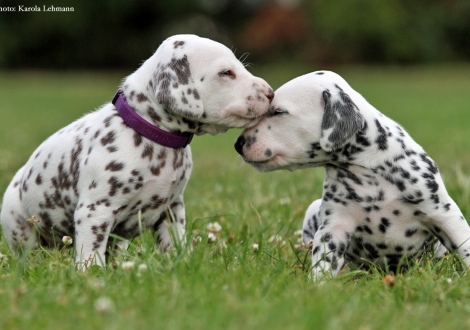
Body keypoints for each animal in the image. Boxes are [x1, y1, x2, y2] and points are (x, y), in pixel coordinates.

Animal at [1, 34, 276, 268]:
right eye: (226, 72)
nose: (270, 93)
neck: (153, 135)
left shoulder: (172, 209)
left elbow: (174, 245)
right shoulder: (94, 212)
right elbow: (90, 256)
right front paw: (91, 278)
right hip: (23, 232)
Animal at [237, 70, 470, 278]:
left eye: (278, 112)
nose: (237, 144)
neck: (369, 169)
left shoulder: (444, 215)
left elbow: (465, 246)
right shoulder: (334, 227)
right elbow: (323, 262)